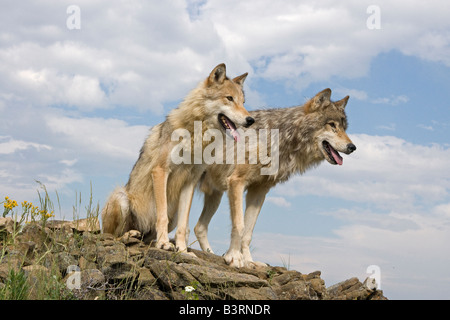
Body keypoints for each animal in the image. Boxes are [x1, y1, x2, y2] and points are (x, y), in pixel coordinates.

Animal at [102, 63, 255, 252]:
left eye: (243, 102)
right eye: (229, 98)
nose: (251, 120)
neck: (197, 135)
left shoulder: (189, 181)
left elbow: (184, 225)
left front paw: (182, 250)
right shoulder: (161, 171)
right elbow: (161, 215)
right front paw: (163, 243)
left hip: (172, 215)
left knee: (148, 237)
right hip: (121, 198)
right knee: (111, 235)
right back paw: (130, 235)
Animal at [192, 87, 356, 268]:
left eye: (344, 128)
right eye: (332, 125)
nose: (353, 147)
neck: (279, 139)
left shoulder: (259, 191)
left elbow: (248, 232)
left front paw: (249, 261)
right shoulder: (237, 182)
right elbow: (239, 226)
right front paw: (234, 257)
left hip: (216, 195)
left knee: (199, 227)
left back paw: (210, 253)